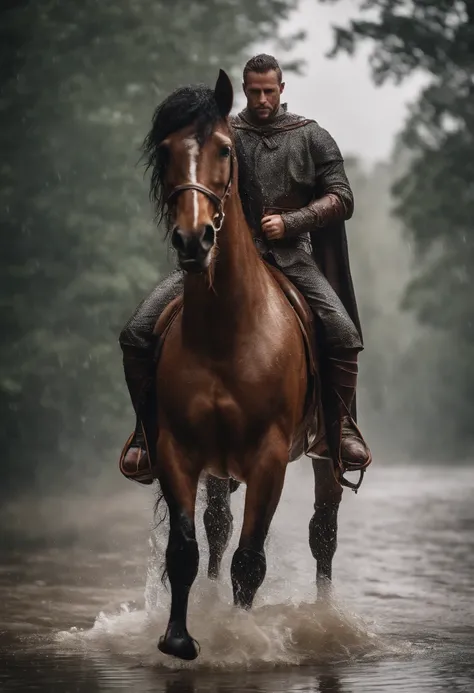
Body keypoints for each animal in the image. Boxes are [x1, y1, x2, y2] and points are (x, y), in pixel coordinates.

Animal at [143, 70, 342, 660]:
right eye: (166, 151)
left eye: (224, 150)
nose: (194, 239)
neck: (227, 331)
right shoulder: (177, 451)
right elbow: (185, 549)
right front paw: (180, 637)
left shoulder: (269, 459)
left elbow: (250, 561)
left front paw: (237, 639)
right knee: (216, 526)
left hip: (324, 456)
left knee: (323, 533)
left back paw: (325, 615)